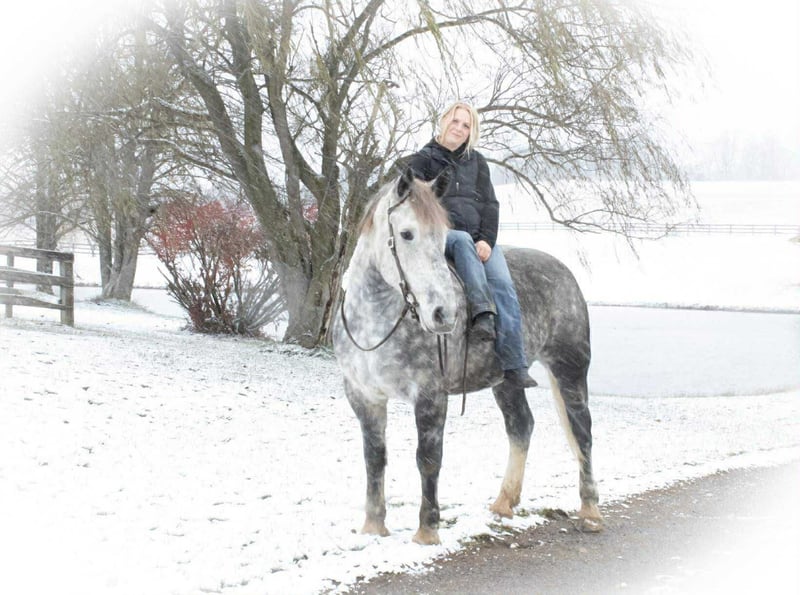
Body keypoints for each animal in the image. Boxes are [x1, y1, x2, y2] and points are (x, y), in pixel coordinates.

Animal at [332, 168, 602, 545]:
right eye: (406, 234)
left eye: (443, 237)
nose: (443, 313)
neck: (376, 321)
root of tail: (564, 272)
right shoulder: (363, 396)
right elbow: (374, 457)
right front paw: (373, 526)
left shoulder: (430, 395)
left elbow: (428, 458)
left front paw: (427, 531)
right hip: (507, 382)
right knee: (521, 427)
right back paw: (504, 502)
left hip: (570, 370)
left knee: (582, 433)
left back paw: (590, 511)